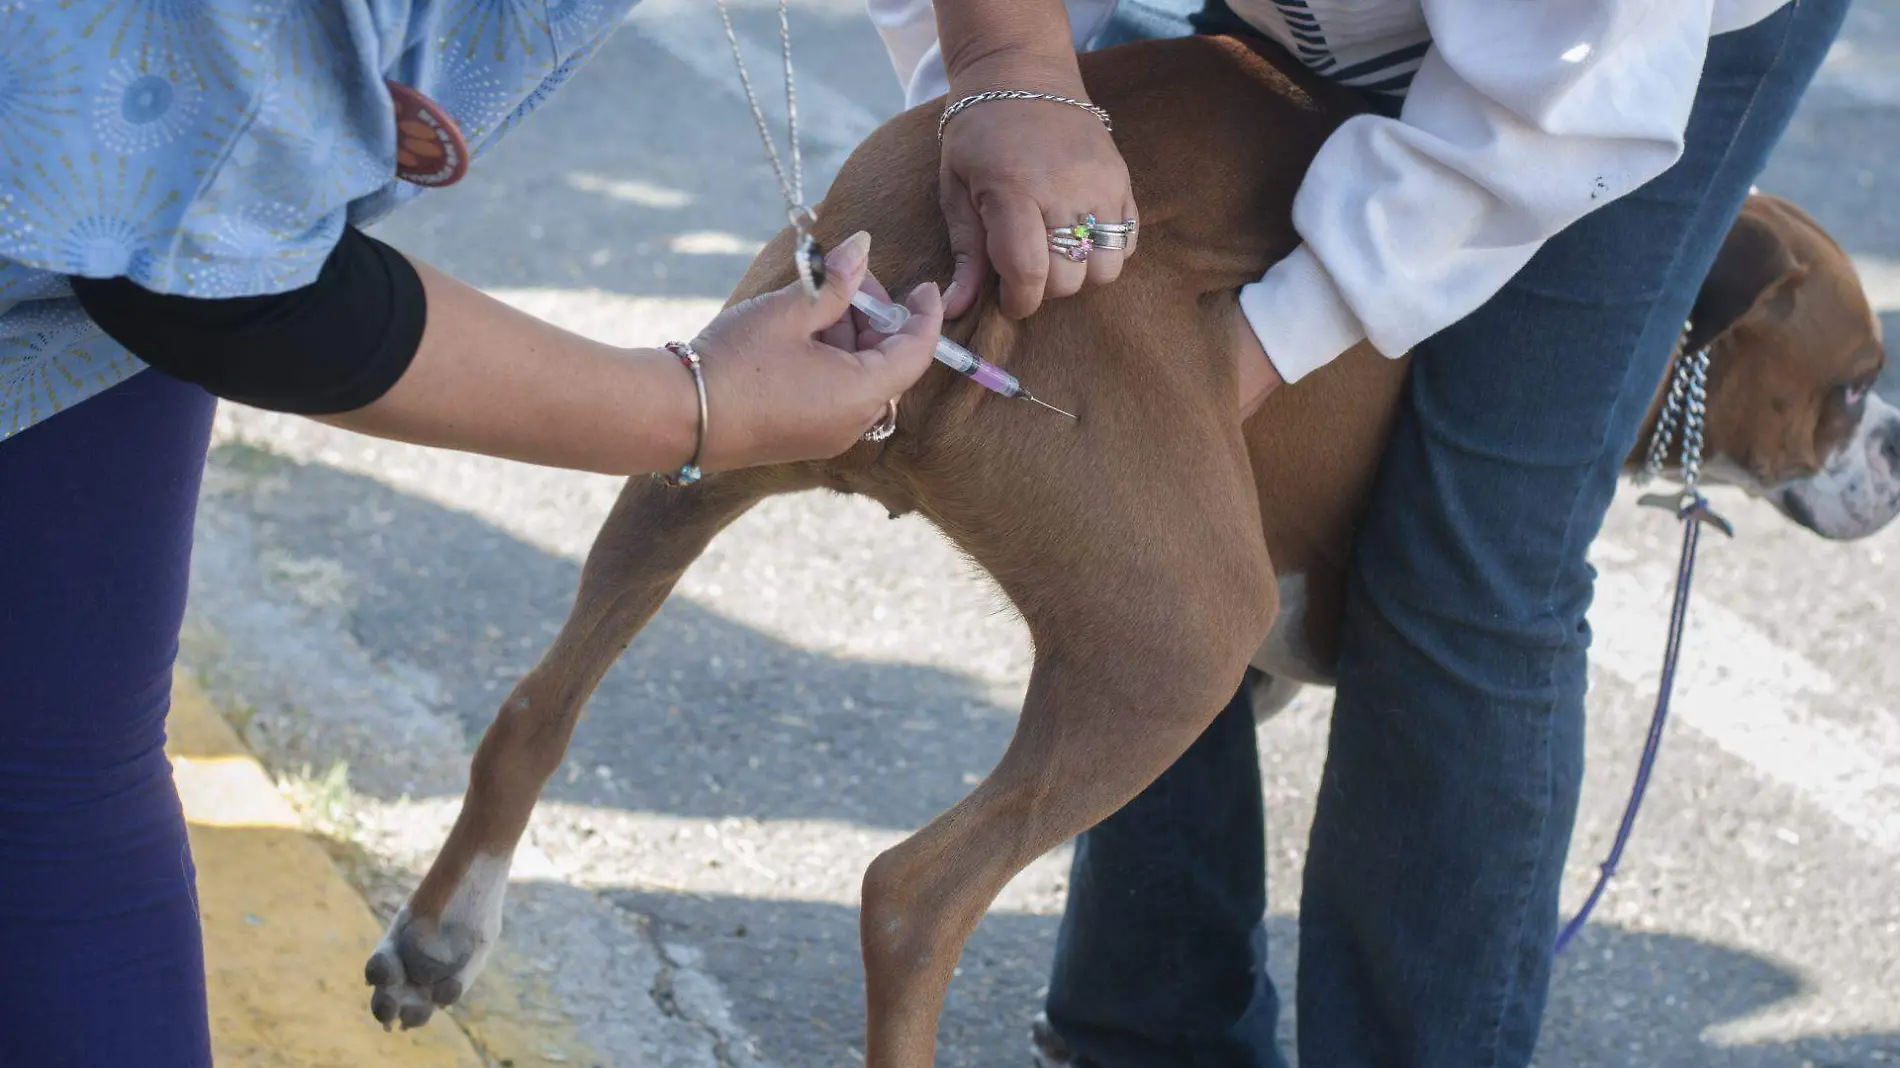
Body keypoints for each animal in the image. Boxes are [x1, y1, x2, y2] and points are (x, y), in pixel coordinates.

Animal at [362, 33, 1892, 1064]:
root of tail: (985, 266)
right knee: (911, 897)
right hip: (1176, 645)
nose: (1892, 459)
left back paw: (441, 937)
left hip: (712, 435)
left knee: (536, 707)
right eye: (1854, 387)